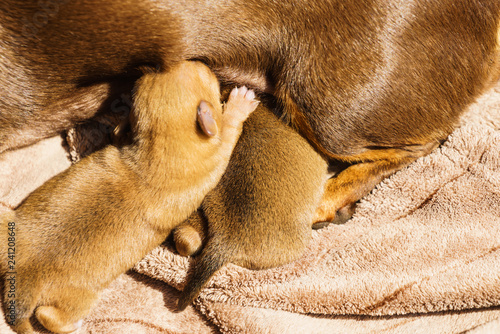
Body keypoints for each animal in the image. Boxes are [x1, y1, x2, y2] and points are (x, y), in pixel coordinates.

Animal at [0, 60, 258, 334]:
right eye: (204, 74)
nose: (194, 59)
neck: (162, 149)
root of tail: (22, 281)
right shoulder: (218, 154)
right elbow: (229, 128)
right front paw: (239, 103)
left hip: (7, 226)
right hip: (77, 300)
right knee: (50, 317)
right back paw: (75, 324)